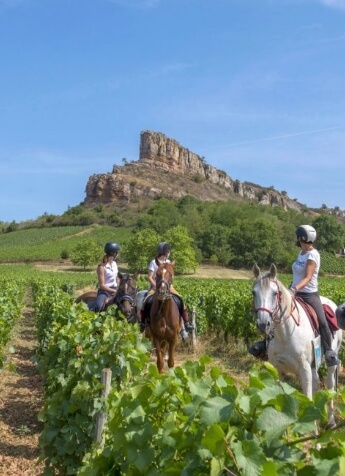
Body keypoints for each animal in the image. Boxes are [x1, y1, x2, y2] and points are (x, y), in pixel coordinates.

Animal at [251, 264, 340, 428]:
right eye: (254, 292)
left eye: (275, 293)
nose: (263, 324)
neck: (285, 334)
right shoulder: (277, 369)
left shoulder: (304, 369)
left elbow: (308, 396)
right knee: (316, 383)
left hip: (331, 362)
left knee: (330, 385)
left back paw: (331, 422)